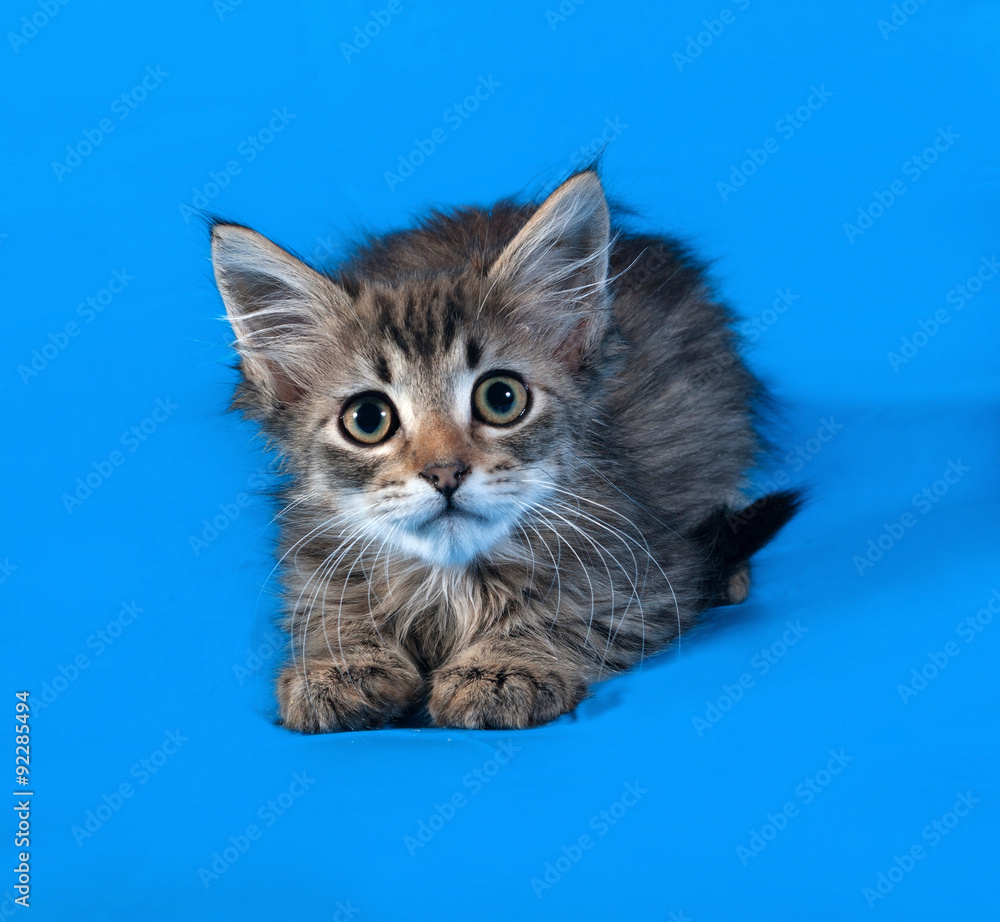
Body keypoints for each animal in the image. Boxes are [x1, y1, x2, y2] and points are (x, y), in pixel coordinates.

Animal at [209, 169, 796, 728]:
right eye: (368, 419)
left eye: (501, 398)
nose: (444, 473)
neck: (449, 582)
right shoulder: (313, 571)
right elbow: (332, 618)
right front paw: (340, 667)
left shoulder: (648, 576)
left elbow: (562, 616)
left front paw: (500, 668)